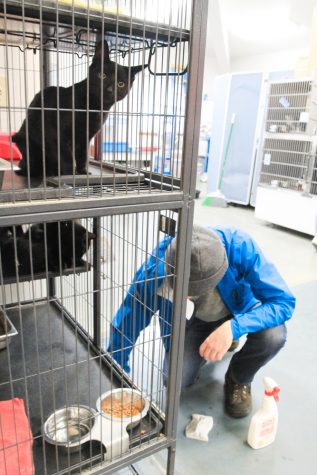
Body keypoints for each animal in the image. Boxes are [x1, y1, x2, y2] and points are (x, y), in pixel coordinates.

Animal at [12, 40, 146, 178]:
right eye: (102, 75)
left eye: (121, 84)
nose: (109, 90)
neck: (95, 108)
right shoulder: (57, 135)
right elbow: (67, 158)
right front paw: (71, 174)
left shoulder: (85, 138)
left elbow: (82, 156)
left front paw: (83, 172)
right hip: (26, 142)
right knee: (32, 168)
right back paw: (47, 172)